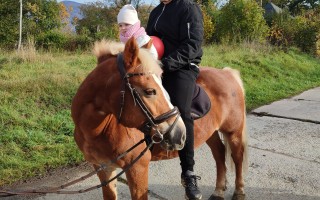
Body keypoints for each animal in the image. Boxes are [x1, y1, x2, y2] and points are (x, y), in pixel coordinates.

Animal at [72, 38, 248, 200]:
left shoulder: (138, 168)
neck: (98, 131)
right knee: (219, 153)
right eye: (150, 91)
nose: (179, 133)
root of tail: (227, 73)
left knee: (237, 156)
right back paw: (218, 191)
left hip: (233, 131)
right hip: (210, 132)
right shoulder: (104, 169)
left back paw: (239, 191)